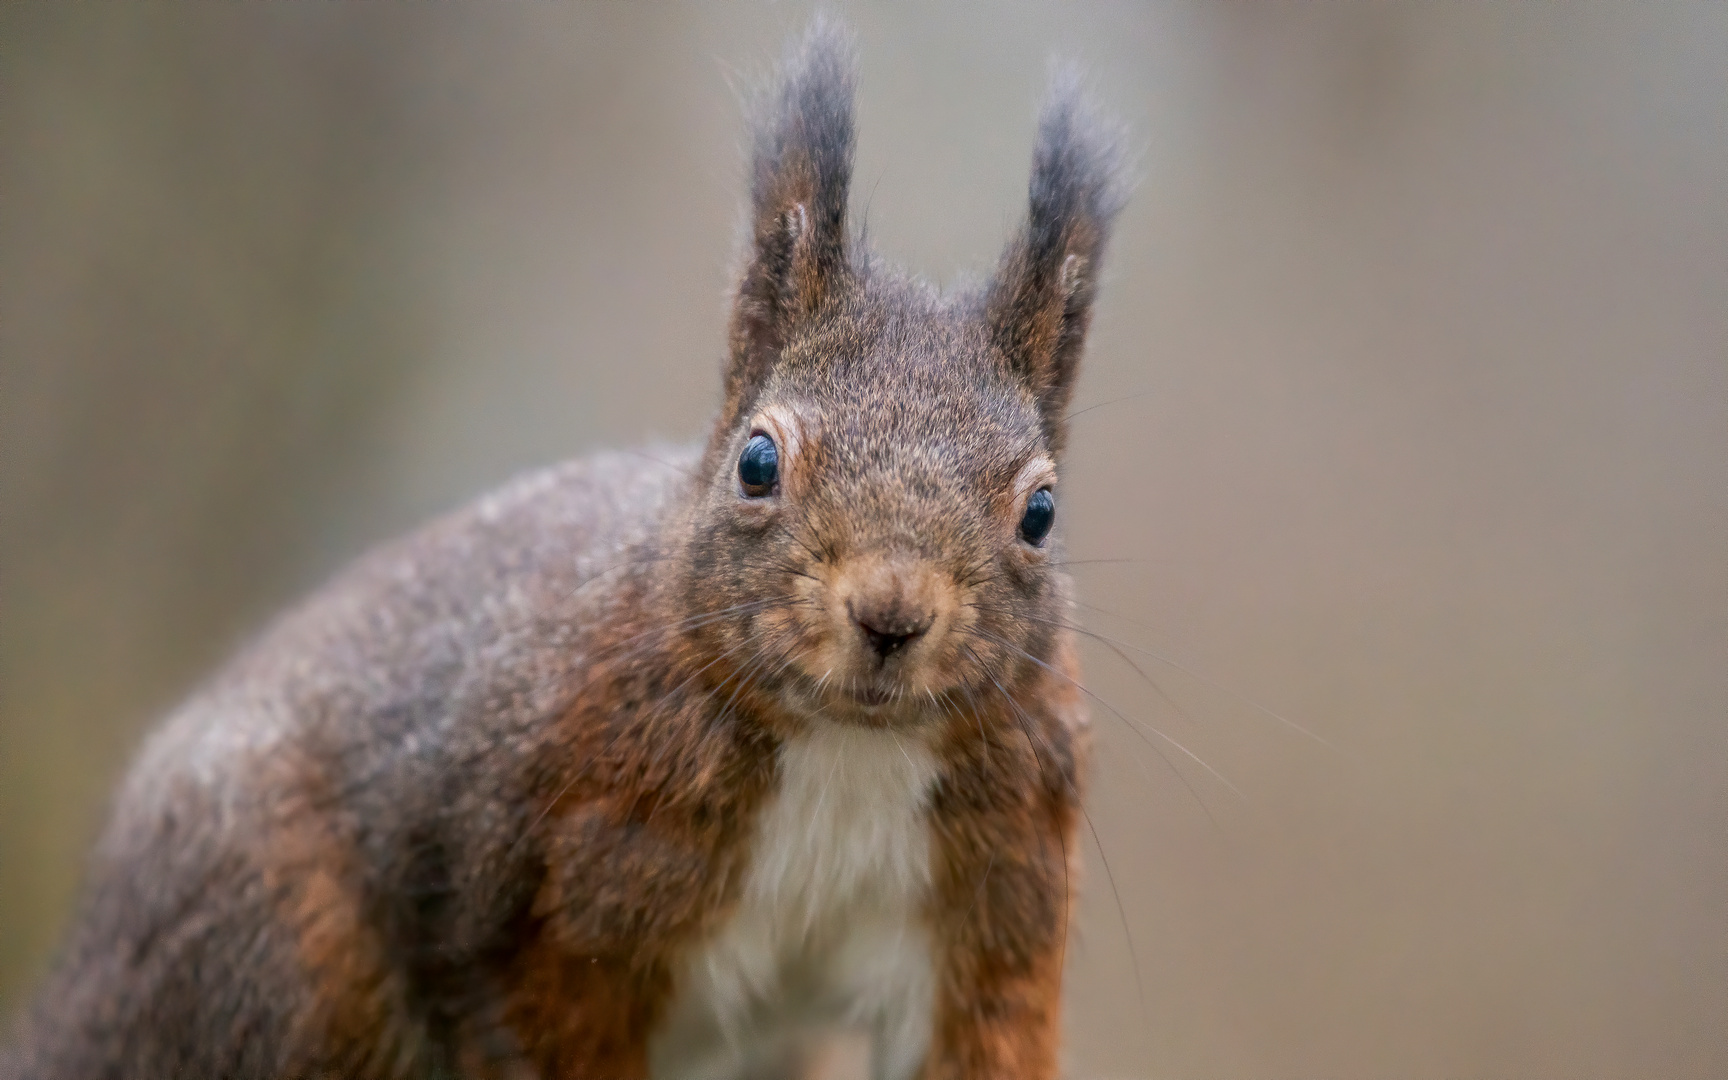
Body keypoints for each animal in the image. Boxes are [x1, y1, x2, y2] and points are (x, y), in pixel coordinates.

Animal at [0, 19, 1126, 1078]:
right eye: (758, 461)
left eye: (1041, 512)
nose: (892, 613)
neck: (848, 748)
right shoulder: (553, 909)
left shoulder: (993, 923)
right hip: (279, 953)